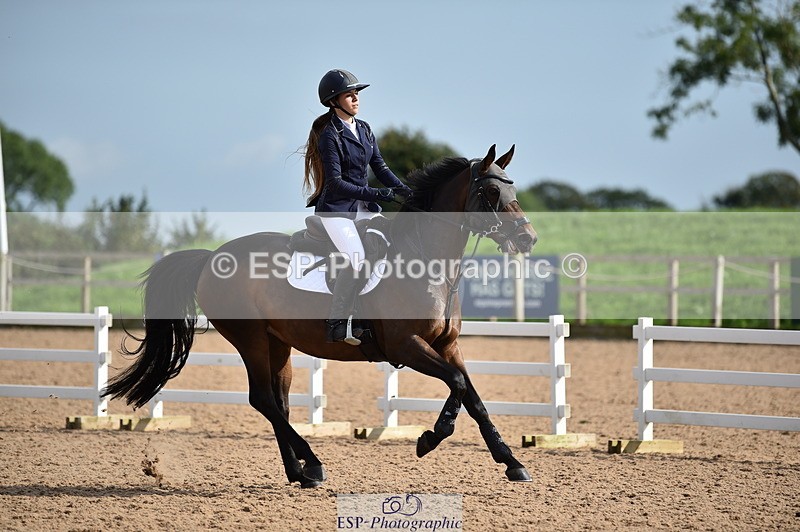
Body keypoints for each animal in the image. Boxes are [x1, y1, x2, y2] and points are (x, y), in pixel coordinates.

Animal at [103, 144, 538, 488]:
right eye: (492, 190)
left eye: (513, 188)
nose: (528, 238)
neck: (428, 263)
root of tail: (212, 257)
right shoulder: (406, 346)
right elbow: (458, 385)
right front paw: (432, 437)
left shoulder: (447, 346)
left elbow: (473, 397)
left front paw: (512, 463)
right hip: (250, 339)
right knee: (263, 399)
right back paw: (312, 464)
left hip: (277, 343)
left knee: (277, 402)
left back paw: (299, 472)